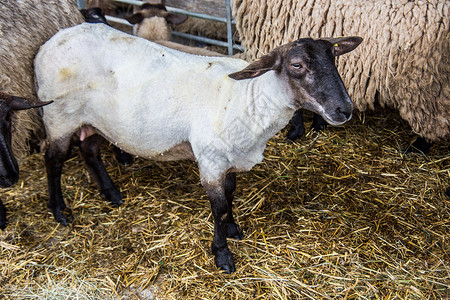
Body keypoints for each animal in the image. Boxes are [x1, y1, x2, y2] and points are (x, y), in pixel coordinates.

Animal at [33, 22, 360, 272]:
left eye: (334, 59)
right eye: (297, 65)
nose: (345, 109)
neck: (248, 98)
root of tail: (54, 39)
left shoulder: (229, 157)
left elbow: (230, 195)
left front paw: (233, 230)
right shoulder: (211, 161)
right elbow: (219, 209)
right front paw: (223, 254)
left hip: (96, 119)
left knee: (89, 150)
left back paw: (111, 194)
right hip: (59, 116)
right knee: (53, 160)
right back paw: (59, 211)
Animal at [232, 0, 450, 149]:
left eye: (296, 64)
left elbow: (296, 107)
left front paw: (295, 132)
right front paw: (318, 125)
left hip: (422, 79)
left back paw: (418, 148)